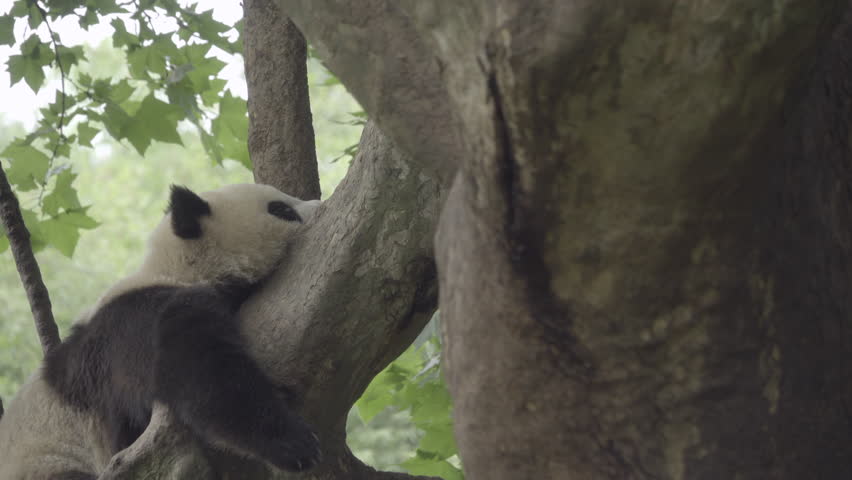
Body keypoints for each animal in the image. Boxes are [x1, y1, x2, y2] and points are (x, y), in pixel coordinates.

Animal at [0, 183, 323, 479]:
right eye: (281, 209)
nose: (321, 205)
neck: (175, 268)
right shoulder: (138, 325)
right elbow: (198, 373)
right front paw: (295, 444)